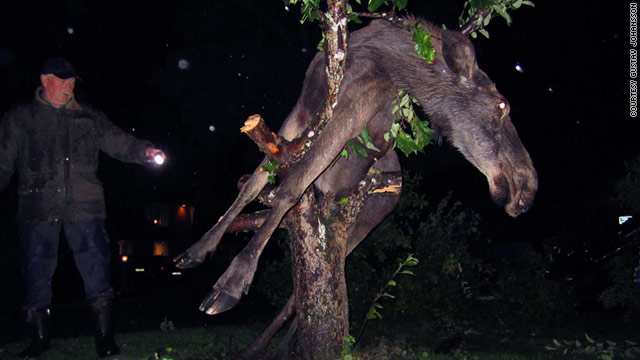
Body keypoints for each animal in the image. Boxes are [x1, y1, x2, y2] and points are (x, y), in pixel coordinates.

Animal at [174, 14, 536, 358]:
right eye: (502, 105)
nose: (528, 189)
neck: (389, 55)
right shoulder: (301, 114)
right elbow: (252, 184)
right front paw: (195, 251)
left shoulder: (353, 109)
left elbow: (290, 187)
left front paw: (229, 285)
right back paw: (261, 347)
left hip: (363, 223)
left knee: (307, 290)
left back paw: (286, 346)